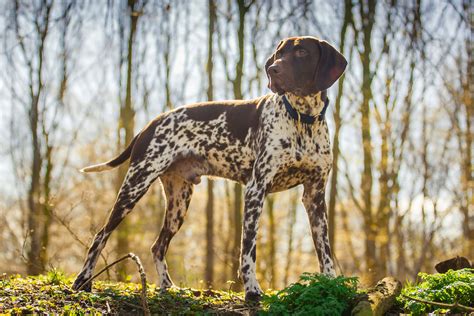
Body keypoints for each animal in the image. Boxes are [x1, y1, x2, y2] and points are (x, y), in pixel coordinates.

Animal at [73, 35, 348, 300]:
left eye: (301, 52)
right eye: (279, 54)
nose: (273, 69)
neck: (303, 120)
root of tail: (150, 124)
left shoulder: (314, 196)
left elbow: (325, 249)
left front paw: (331, 284)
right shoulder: (255, 191)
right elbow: (248, 250)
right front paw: (252, 290)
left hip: (178, 203)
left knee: (157, 246)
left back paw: (168, 286)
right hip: (135, 186)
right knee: (100, 235)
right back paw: (83, 280)